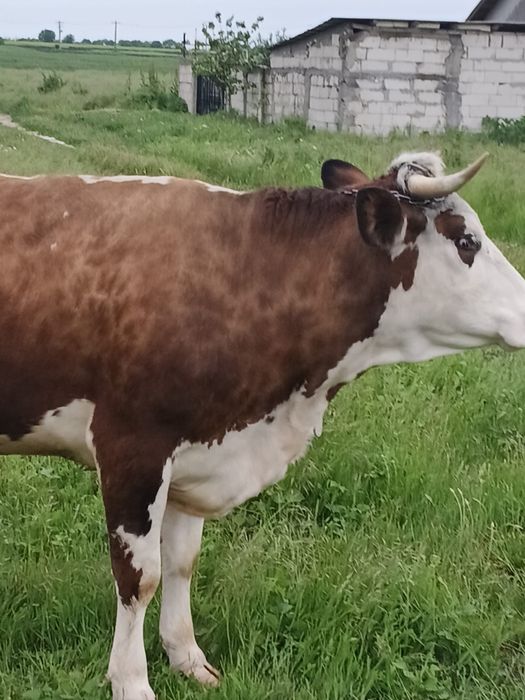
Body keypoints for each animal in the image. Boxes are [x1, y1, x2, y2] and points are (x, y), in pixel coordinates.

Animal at [1, 151, 525, 700]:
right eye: (467, 242)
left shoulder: (198, 448)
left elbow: (183, 560)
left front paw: (185, 656)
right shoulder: (133, 447)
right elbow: (139, 577)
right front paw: (131, 681)